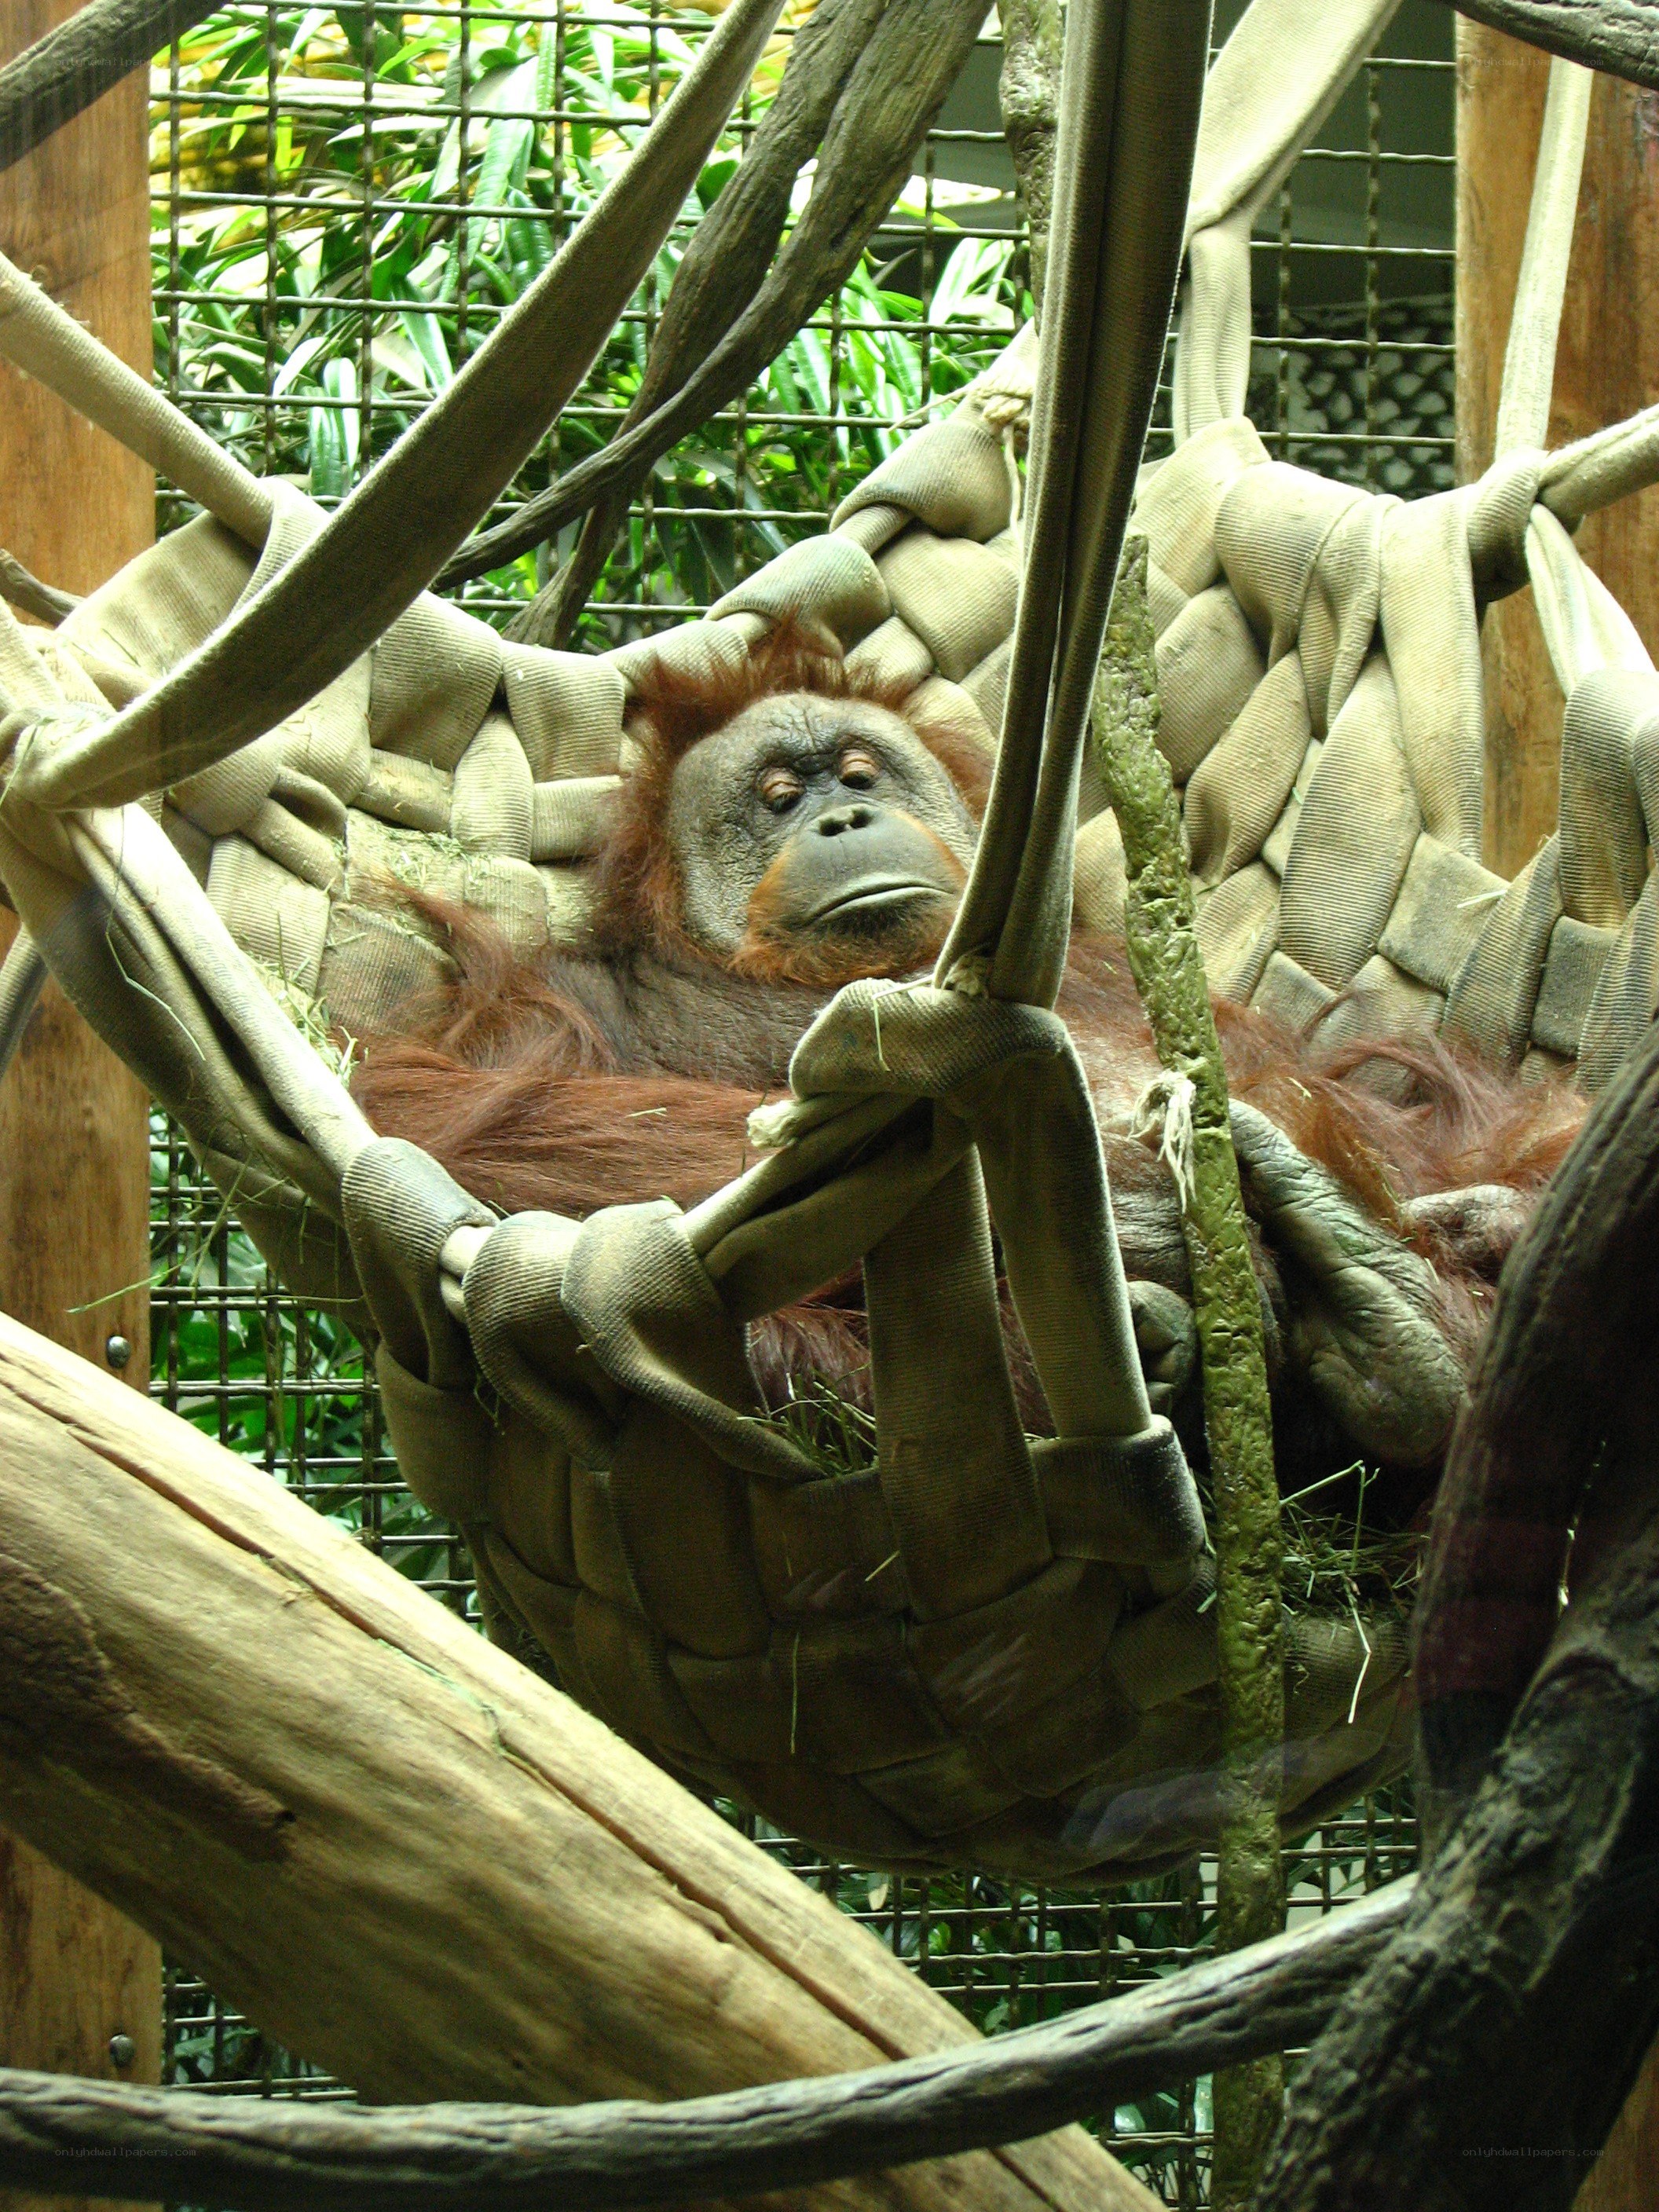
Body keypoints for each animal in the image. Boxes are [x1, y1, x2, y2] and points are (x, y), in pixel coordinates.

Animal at [350, 622, 1585, 1514]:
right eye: (779, 798)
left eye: (859, 772)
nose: (846, 818)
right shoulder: (556, 996)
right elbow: (455, 1111)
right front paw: (1116, 1200)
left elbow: (1379, 1090)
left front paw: (1479, 1214)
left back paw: (1392, 1312)